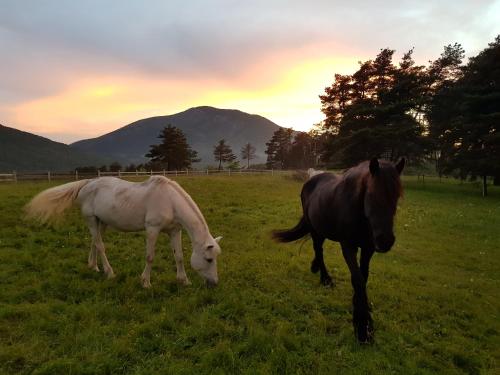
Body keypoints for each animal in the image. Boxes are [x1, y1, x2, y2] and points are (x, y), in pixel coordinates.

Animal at [24, 176, 222, 288]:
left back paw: (93, 266)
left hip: (101, 222)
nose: (214, 284)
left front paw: (184, 281)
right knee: (100, 245)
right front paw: (145, 282)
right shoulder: (152, 229)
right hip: (91, 220)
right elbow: (150, 257)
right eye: (209, 259)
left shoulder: (174, 231)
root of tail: (88, 183)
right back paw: (109, 272)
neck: (170, 200)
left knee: (94, 242)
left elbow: (179, 256)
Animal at [272, 158, 404, 344]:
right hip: (315, 229)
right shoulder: (348, 246)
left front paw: (359, 305)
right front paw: (363, 327)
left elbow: (363, 276)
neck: (359, 213)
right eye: (371, 194)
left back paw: (315, 267)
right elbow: (357, 279)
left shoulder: (368, 248)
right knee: (318, 250)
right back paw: (325, 279)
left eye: (397, 196)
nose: (385, 241)